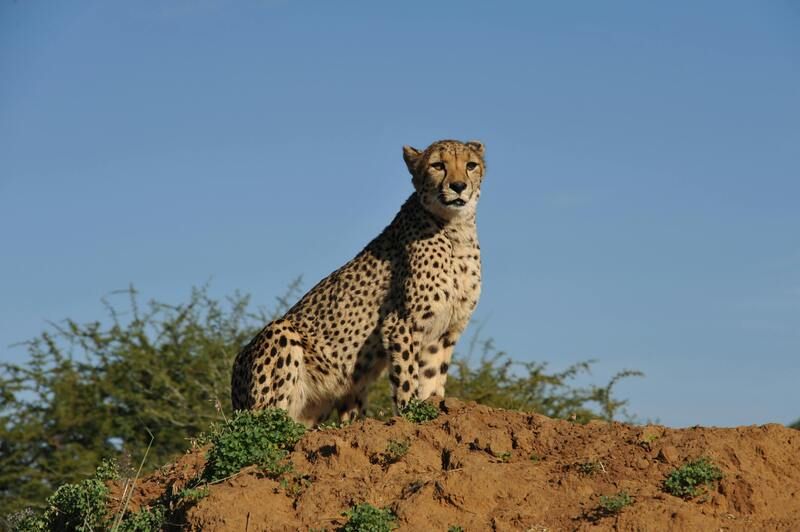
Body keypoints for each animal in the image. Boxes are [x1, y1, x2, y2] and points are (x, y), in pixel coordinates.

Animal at [231, 139, 486, 426]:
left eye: (471, 165)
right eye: (438, 165)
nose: (458, 186)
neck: (456, 230)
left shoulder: (444, 333)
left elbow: (432, 380)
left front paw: (434, 408)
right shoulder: (401, 325)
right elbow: (407, 380)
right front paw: (409, 414)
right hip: (281, 336)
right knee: (270, 418)